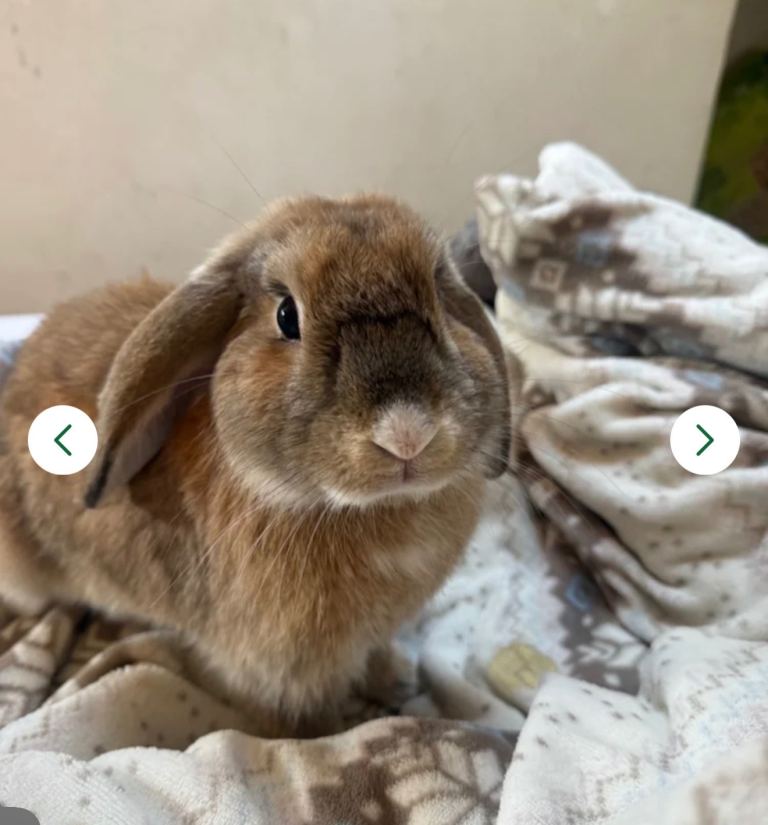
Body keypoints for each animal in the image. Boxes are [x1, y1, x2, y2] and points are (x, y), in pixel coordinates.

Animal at [0, 194, 510, 735]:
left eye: (439, 294)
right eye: (287, 316)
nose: (407, 434)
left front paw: (394, 678)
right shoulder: (278, 670)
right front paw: (337, 732)